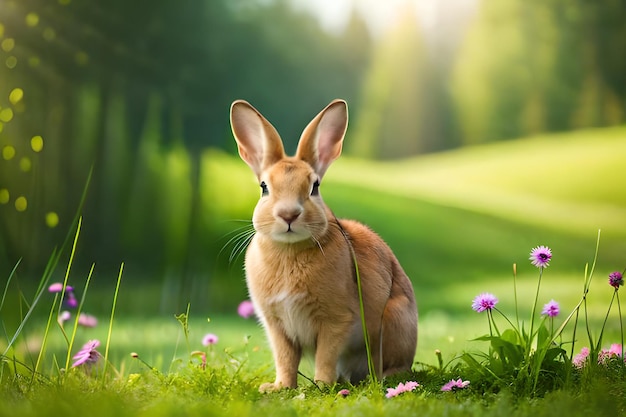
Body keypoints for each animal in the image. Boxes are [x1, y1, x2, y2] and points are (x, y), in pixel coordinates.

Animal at [228, 97, 414, 390]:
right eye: (264, 187)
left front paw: (323, 385)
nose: (288, 214)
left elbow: (326, 355)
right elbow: (285, 359)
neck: (290, 250)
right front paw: (279, 387)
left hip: (393, 321)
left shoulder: (336, 320)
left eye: (314, 187)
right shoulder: (277, 326)